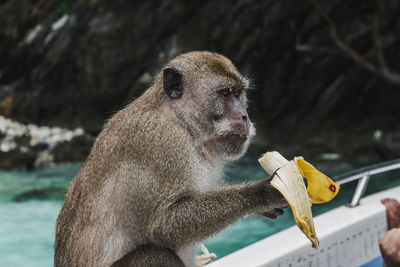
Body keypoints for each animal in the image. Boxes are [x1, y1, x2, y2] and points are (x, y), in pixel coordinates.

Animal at [55, 50, 288, 267]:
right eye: (225, 92)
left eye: (238, 93)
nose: (244, 116)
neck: (183, 122)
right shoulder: (160, 144)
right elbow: (161, 226)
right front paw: (262, 193)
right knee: (157, 255)